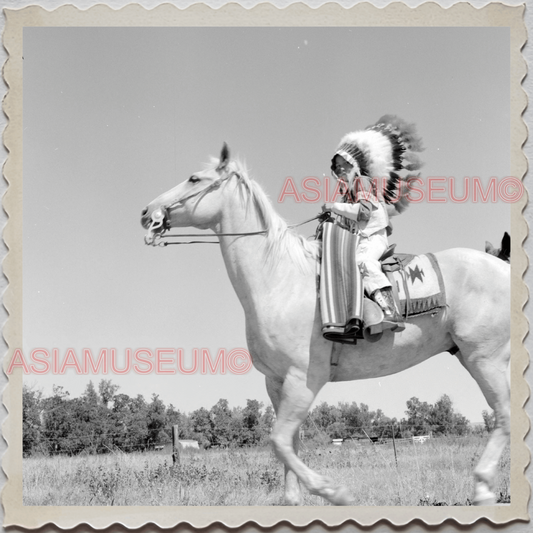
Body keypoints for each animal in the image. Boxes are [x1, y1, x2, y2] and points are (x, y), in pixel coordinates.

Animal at [139, 143, 510, 504]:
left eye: (194, 179)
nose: (147, 213)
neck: (281, 279)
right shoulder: (276, 382)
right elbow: (289, 445)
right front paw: (295, 499)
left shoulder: (305, 378)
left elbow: (279, 441)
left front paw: (334, 492)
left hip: (485, 359)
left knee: (505, 415)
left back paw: (482, 487)